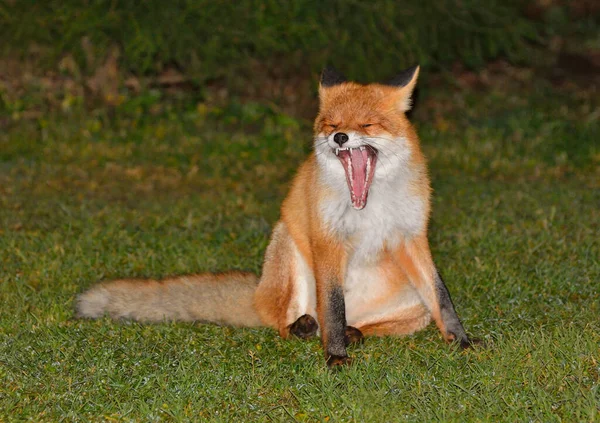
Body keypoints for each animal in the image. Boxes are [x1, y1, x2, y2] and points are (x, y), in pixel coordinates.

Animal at [77, 66, 476, 368]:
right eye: (331, 124)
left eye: (367, 125)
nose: (340, 138)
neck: (369, 205)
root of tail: (257, 294)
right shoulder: (327, 240)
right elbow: (332, 307)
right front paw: (335, 358)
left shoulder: (411, 236)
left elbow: (442, 299)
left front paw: (463, 342)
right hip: (288, 249)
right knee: (293, 323)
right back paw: (304, 328)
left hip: (413, 305)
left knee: (362, 323)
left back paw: (354, 332)